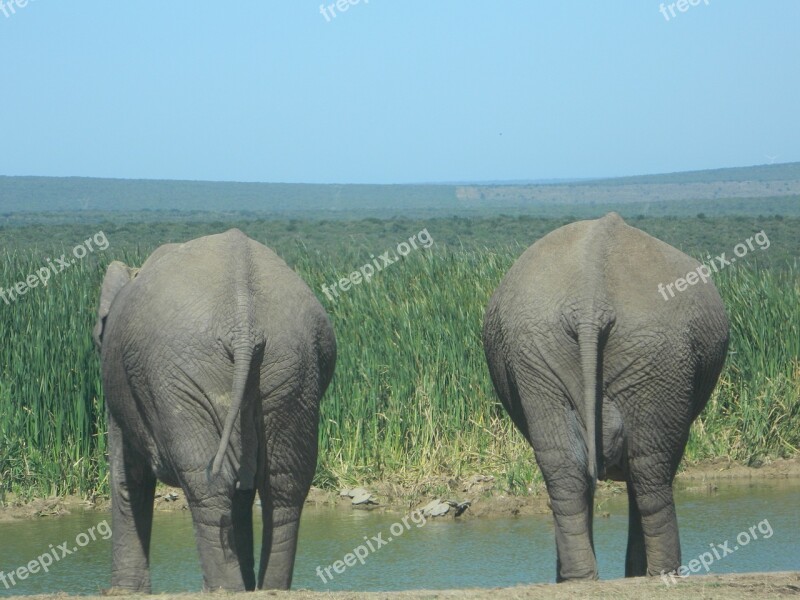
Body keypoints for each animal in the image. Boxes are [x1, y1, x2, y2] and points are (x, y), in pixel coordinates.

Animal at [94, 230, 338, 592]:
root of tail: (244, 319)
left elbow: (127, 476)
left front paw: (124, 592)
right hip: (294, 365)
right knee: (284, 481)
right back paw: (266, 588)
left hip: (180, 374)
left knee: (207, 481)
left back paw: (222, 588)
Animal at [482, 212, 732, 580]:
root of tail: (590, 302)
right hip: (658, 354)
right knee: (651, 470)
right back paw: (662, 574)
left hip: (537, 348)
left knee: (564, 468)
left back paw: (577, 579)